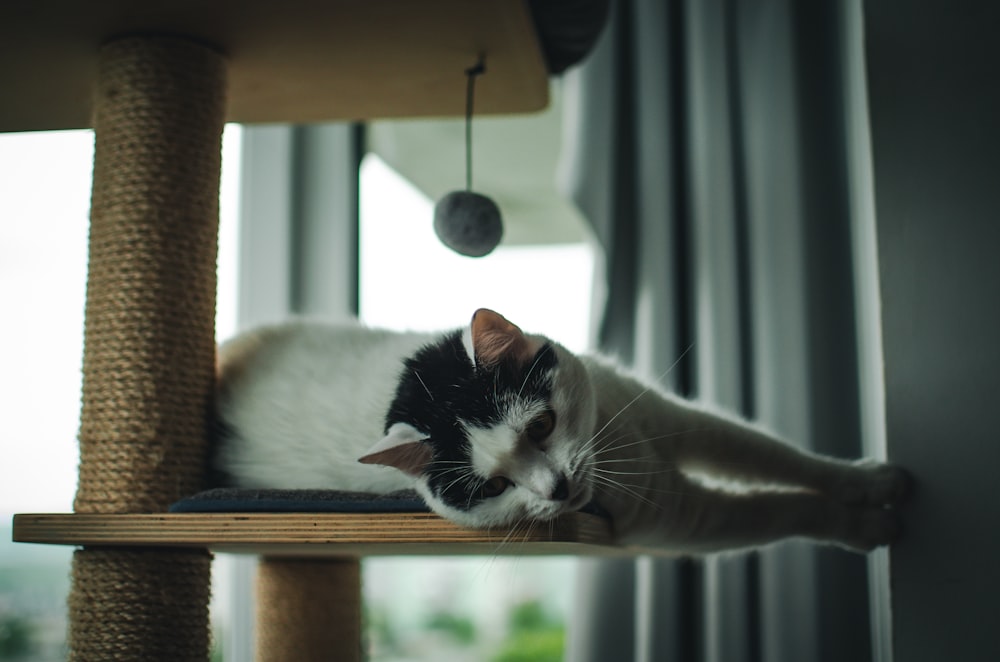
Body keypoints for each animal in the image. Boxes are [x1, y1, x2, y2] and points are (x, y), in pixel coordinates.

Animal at [215, 310, 912, 556]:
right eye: (494, 486)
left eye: (543, 424)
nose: (556, 488)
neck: (627, 446)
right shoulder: (683, 518)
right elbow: (780, 511)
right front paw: (868, 528)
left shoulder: (680, 421)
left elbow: (779, 456)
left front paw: (872, 481)